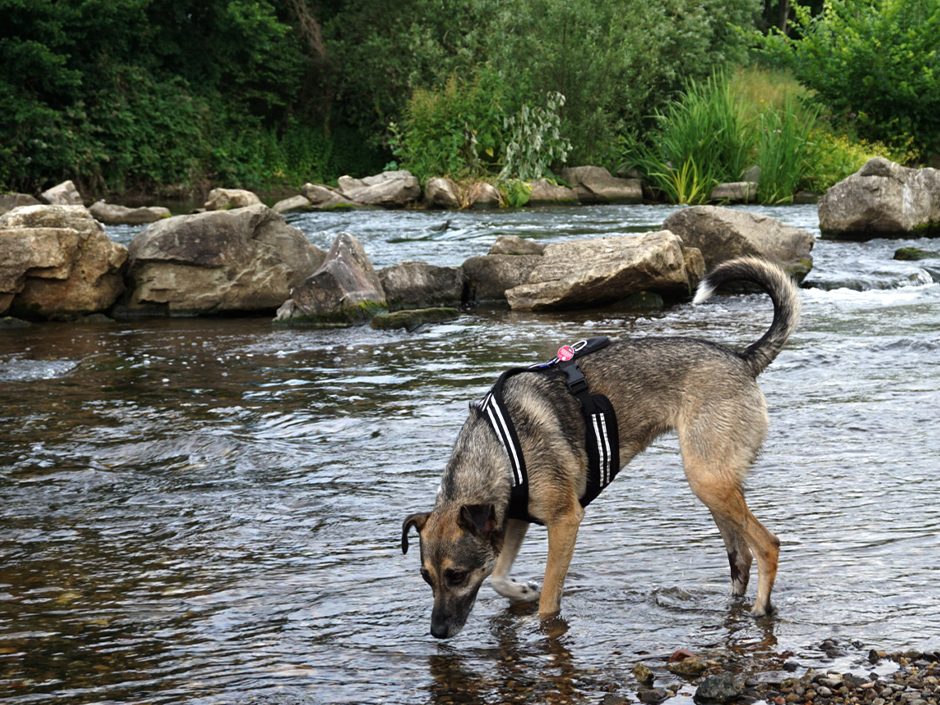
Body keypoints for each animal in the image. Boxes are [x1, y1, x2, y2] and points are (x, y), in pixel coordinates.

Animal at [402, 258, 800, 640]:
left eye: (456, 575)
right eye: (425, 577)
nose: (437, 633)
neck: (498, 449)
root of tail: (741, 357)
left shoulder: (564, 522)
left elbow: (549, 602)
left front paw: (545, 625)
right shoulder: (513, 519)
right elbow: (500, 578)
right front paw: (521, 590)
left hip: (708, 480)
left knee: (767, 545)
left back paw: (761, 608)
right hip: (715, 487)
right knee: (740, 557)